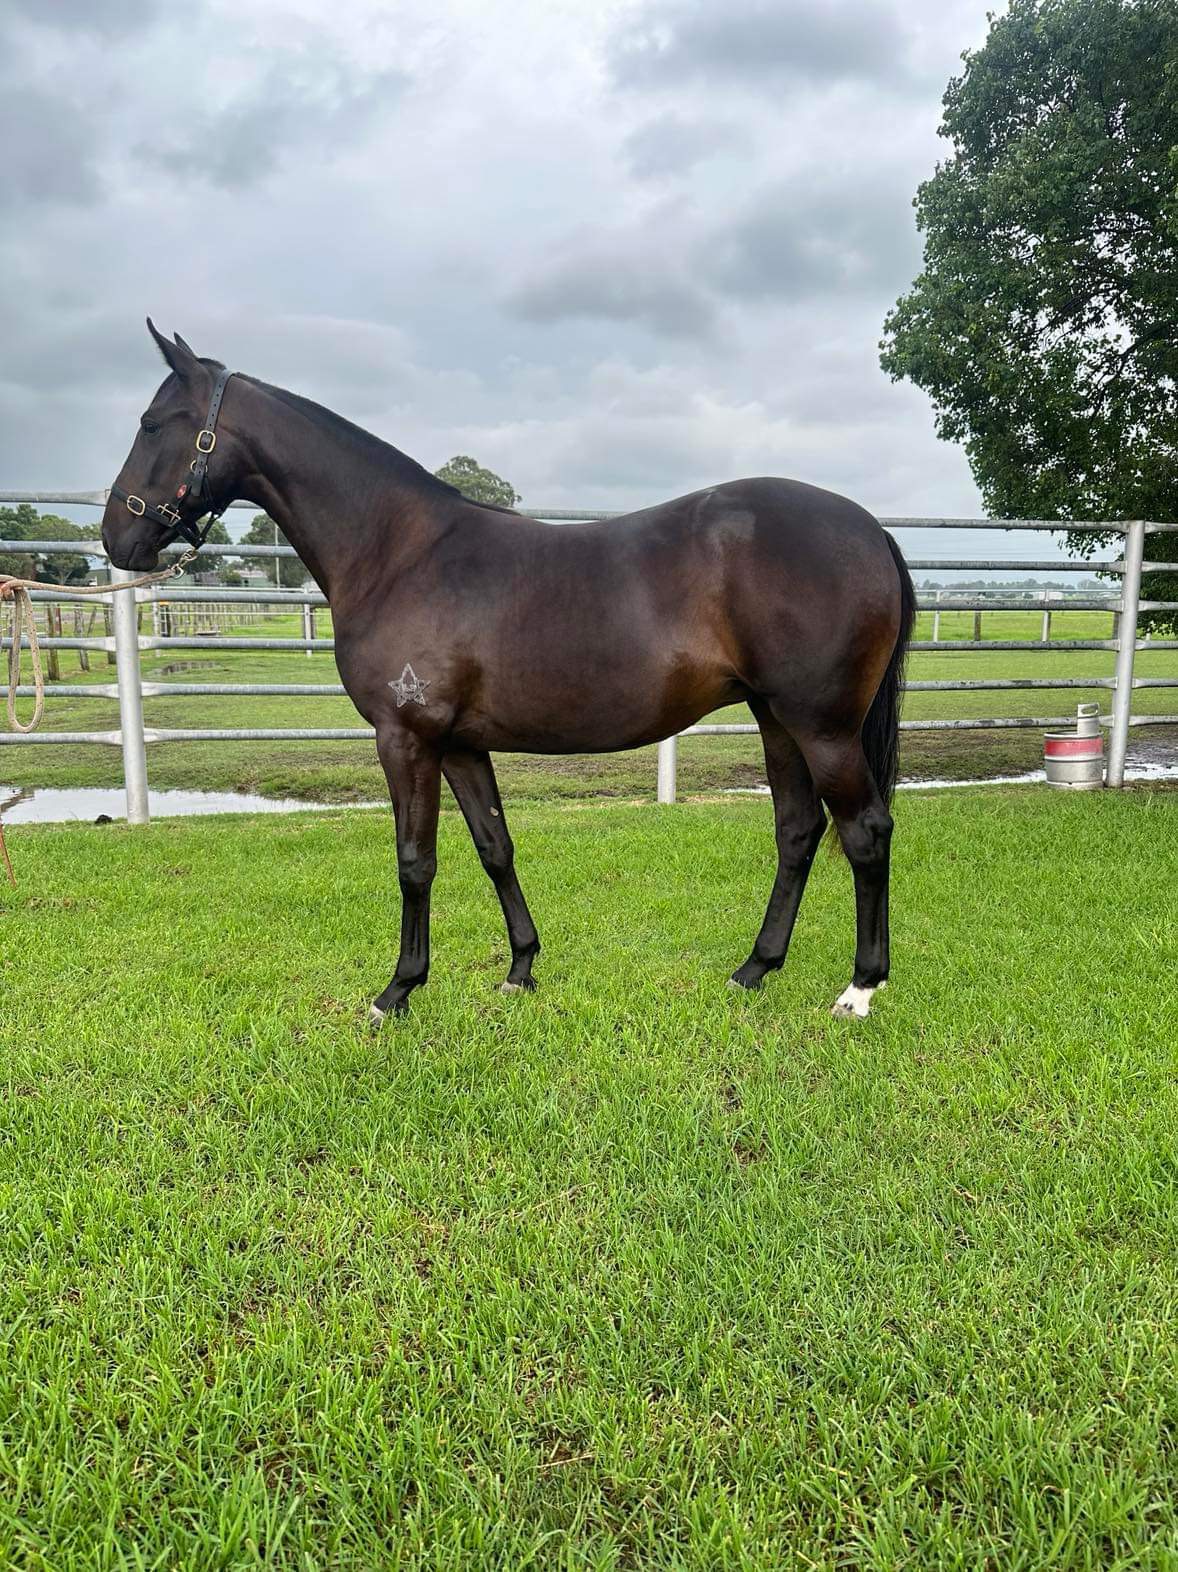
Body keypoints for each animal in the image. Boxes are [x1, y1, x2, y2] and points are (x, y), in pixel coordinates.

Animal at [102, 321, 916, 1023]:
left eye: (153, 424)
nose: (116, 536)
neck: (399, 551)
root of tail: (870, 529)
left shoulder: (406, 738)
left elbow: (415, 860)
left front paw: (397, 990)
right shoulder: (461, 744)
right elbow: (495, 847)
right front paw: (520, 969)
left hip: (822, 726)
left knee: (866, 831)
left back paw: (860, 988)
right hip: (776, 718)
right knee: (798, 831)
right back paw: (754, 968)